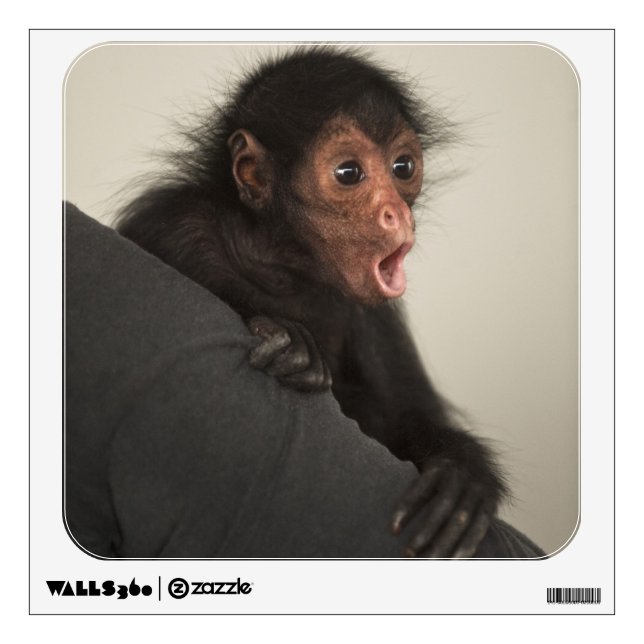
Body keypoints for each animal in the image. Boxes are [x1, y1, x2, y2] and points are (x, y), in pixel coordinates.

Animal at [115, 47, 508, 558]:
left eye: (403, 167)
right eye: (348, 173)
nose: (396, 213)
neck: (281, 266)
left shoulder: (374, 315)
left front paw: (462, 473)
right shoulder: (176, 225)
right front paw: (288, 340)